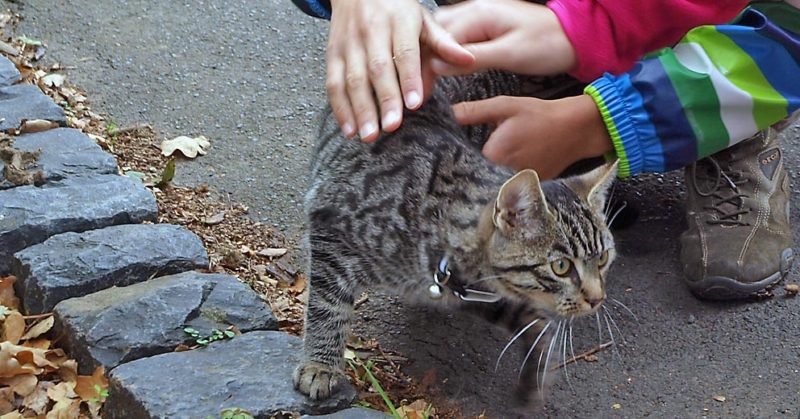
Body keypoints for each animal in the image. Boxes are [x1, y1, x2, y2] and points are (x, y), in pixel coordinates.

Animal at [296, 72, 620, 404]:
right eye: (561, 267)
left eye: (603, 258)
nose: (598, 299)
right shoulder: (329, 232)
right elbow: (328, 307)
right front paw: (321, 365)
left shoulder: (474, 290)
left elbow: (528, 315)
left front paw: (538, 359)